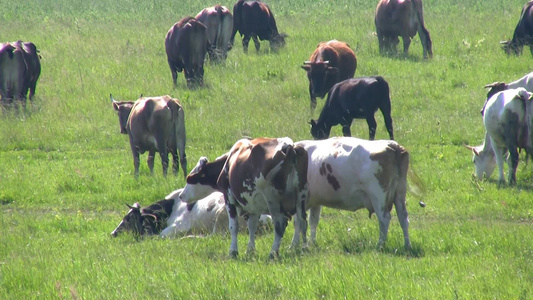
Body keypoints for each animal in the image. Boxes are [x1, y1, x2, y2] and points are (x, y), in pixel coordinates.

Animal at [181, 138, 310, 258]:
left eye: (190, 180)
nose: (181, 195)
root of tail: (289, 147)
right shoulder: (254, 203)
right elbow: (252, 225)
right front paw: (250, 250)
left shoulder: (229, 197)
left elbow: (233, 226)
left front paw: (233, 251)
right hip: (301, 196)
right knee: (302, 221)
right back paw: (304, 248)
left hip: (272, 200)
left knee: (280, 224)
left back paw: (273, 253)